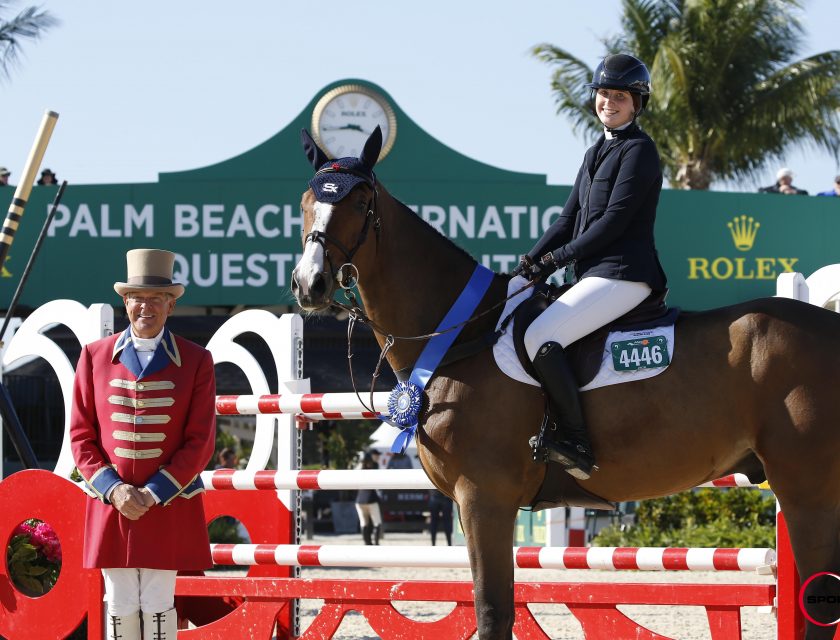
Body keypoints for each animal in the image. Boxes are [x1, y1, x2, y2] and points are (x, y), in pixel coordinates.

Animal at [292, 126, 840, 640]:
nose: (308, 284)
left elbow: (492, 612)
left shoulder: (484, 497)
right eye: (305, 203)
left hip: (808, 492)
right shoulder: (477, 505)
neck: (461, 335)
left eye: (360, 203)